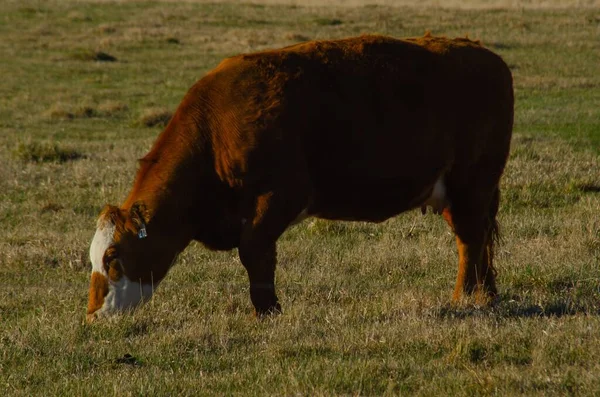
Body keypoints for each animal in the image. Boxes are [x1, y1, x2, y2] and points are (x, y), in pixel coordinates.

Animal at [86, 32, 512, 320]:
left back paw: (463, 297)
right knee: (478, 240)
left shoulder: (280, 196)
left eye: (113, 257)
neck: (216, 132)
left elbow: (255, 252)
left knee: (470, 240)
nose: (93, 314)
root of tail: (483, 54)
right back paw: (486, 294)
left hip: (471, 184)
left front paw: (267, 310)